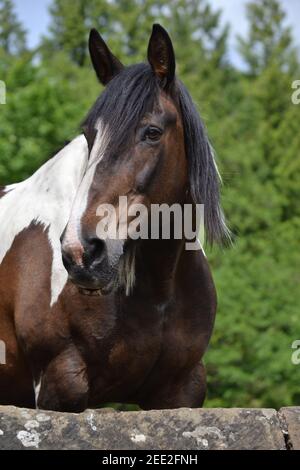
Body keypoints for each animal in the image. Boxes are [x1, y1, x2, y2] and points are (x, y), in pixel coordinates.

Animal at [0, 24, 227, 412]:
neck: (156, 289)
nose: (81, 252)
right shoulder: (60, 384)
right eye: (90, 135)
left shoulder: (181, 390)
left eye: (152, 132)